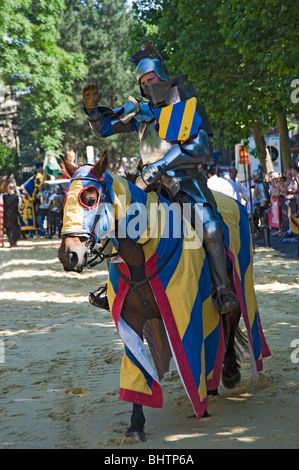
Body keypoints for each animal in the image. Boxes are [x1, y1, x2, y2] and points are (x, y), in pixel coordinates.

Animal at [58, 151, 272, 440]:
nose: (68, 255)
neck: (140, 253)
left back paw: (227, 373)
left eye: (90, 199)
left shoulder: (187, 309)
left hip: (236, 283)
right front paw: (135, 425)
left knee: (231, 319)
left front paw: (202, 402)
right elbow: (137, 364)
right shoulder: (131, 320)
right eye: (64, 202)